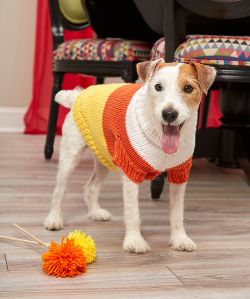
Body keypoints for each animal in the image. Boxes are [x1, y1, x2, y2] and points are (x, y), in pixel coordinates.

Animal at [45, 59, 217, 255]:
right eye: (158, 87)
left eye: (188, 88)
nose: (169, 114)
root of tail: (77, 95)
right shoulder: (131, 173)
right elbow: (133, 212)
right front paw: (134, 241)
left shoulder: (179, 174)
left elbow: (177, 213)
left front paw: (180, 239)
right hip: (70, 156)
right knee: (59, 191)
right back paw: (54, 219)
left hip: (104, 158)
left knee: (91, 187)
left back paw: (95, 212)